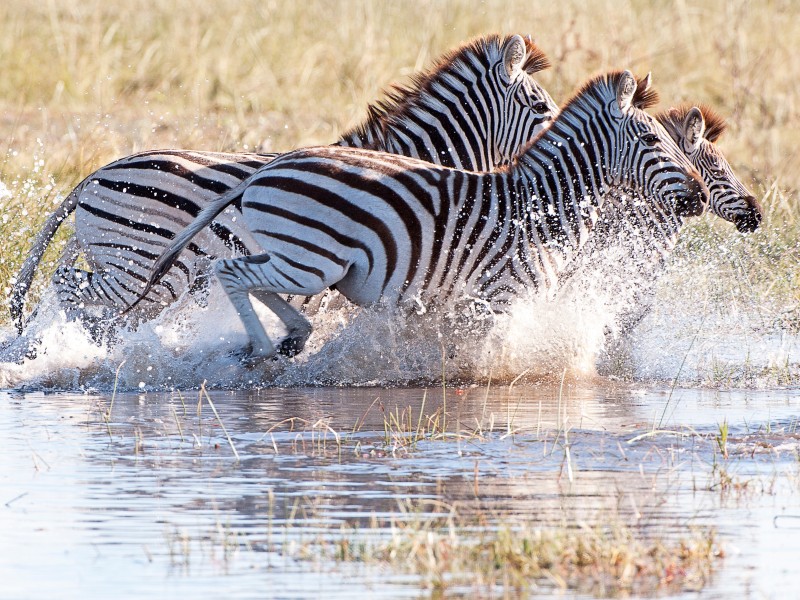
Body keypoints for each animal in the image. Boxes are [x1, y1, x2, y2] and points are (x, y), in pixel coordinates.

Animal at [135, 70, 709, 363]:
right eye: (652, 140)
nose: (701, 196)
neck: (541, 202)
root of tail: (268, 168)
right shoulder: (496, 297)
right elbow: (479, 357)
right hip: (312, 259)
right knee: (230, 273)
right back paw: (261, 346)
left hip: (302, 257)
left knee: (244, 276)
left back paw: (293, 336)